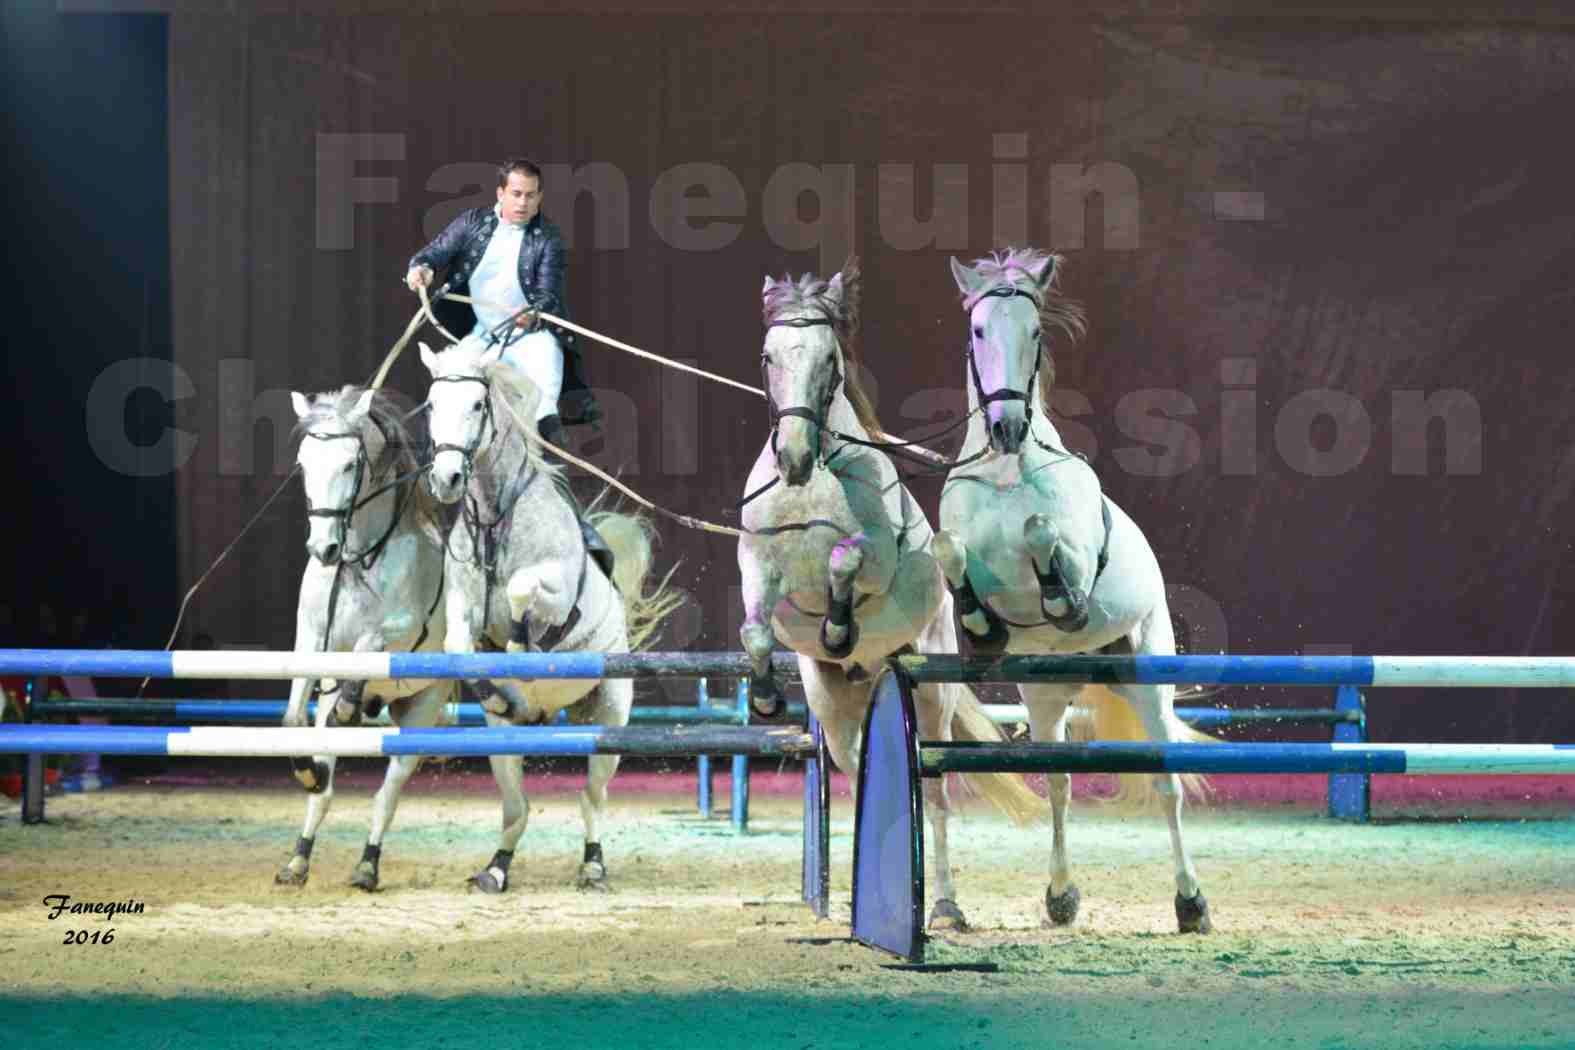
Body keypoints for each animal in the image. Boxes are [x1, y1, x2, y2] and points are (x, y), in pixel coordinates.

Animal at [277, 382, 456, 894]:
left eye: (349, 465)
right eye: (304, 463)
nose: (323, 549)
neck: (359, 558)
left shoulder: (398, 632)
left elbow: (368, 647)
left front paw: (350, 704)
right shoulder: (310, 640)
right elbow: (294, 718)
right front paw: (307, 771)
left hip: (423, 707)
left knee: (387, 795)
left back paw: (367, 866)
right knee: (324, 789)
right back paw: (298, 859)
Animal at [422, 341, 680, 894]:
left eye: (477, 404)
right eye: (432, 404)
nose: (447, 479)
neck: (496, 519)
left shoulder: (556, 594)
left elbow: (524, 593)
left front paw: (522, 645)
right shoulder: (461, 605)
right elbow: (459, 647)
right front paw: (497, 688)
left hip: (609, 716)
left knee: (592, 798)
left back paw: (593, 865)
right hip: (506, 741)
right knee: (516, 807)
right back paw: (496, 868)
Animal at [737, 258, 1045, 931]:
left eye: (828, 358)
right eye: (768, 355)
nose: (792, 456)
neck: (812, 486)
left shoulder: (874, 555)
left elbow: (844, 560)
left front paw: (838, 628)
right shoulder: (755, 566)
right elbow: (754, 630)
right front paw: (767, 697)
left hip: (928, 695)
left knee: (934, 792)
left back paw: (947, 907)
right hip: (835, 708)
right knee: (859, 772)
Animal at [932, 248, 1215, 938]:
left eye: (1034, 332)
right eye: (978, 330)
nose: (1006, 426)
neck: (1007, 474)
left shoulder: (1077, 558)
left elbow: (1044, 538)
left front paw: (1060, 598)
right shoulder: (960, 552)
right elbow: (952, 551)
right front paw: (980, 625)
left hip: (1148, 675)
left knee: (1166, 782)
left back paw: (1190, 903)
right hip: (1044, 693)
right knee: (1059, 781)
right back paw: (1061, 895)